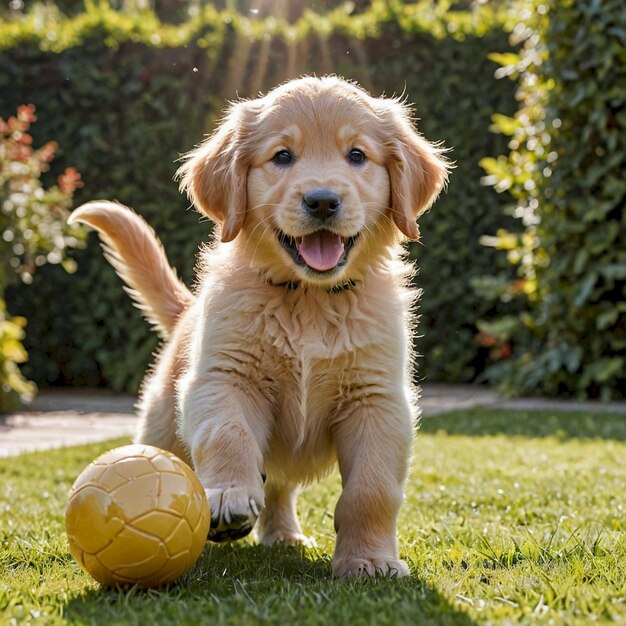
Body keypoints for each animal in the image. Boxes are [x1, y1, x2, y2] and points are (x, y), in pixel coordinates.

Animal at [69, 75, 448, 576]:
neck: (308, 298)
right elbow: (228, 434)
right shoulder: (224, 376)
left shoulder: (378, 400)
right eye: (282, 156)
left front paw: (368, 559)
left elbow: (372, 490)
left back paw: (283, 534)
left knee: (279, 486)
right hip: (162, 424)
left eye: (357, 155)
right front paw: (228, 495)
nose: (322, 201)